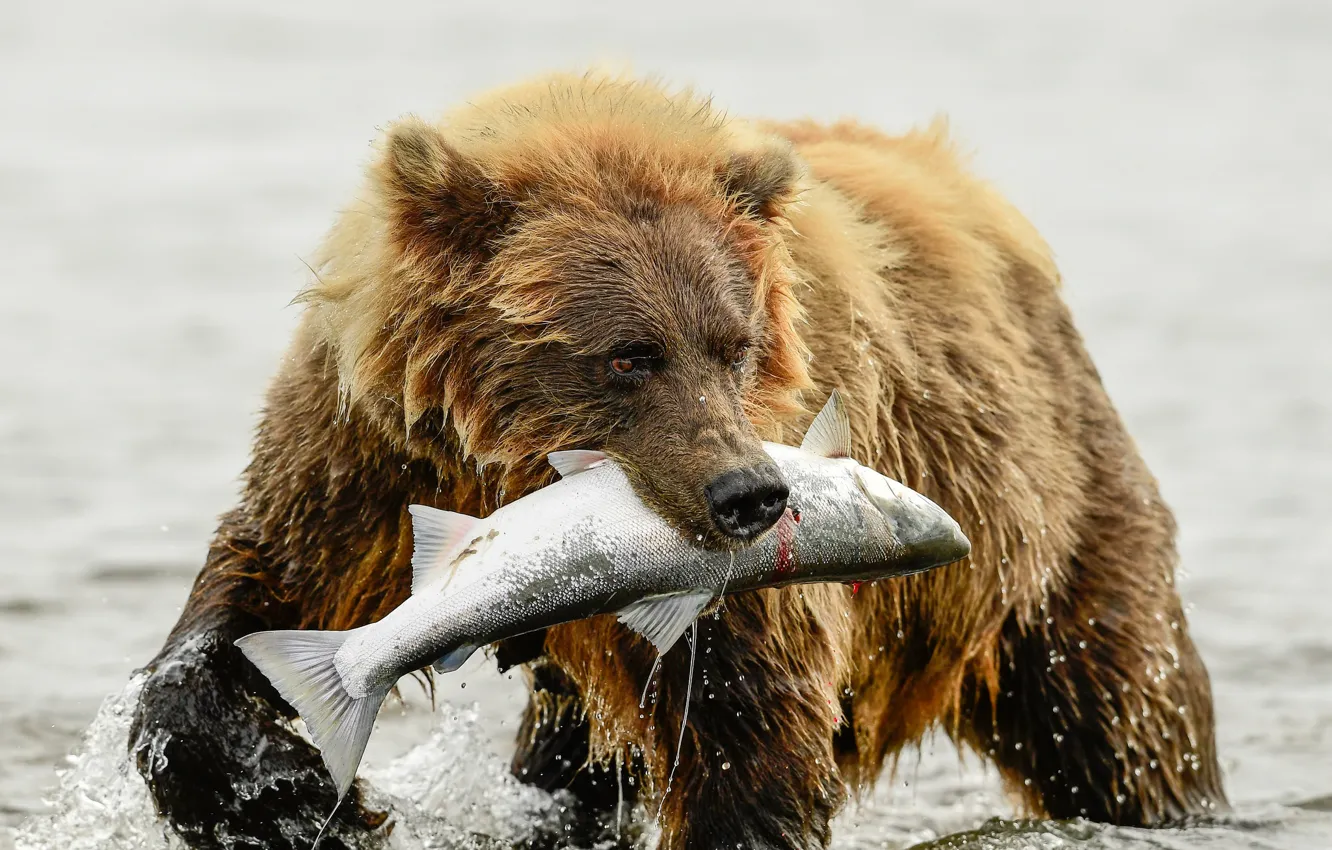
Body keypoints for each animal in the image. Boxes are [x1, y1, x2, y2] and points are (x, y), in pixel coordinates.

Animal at [128, 72, 1226, 850]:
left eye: (735, 344)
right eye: (628, 353)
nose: (751, 496)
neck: (508, 463)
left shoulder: (740, 569)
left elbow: (750, 729)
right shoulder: (367, 453)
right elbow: (263, 588)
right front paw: (296, 794)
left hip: (1050, 521)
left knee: (1122, 712)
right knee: (571, 763)